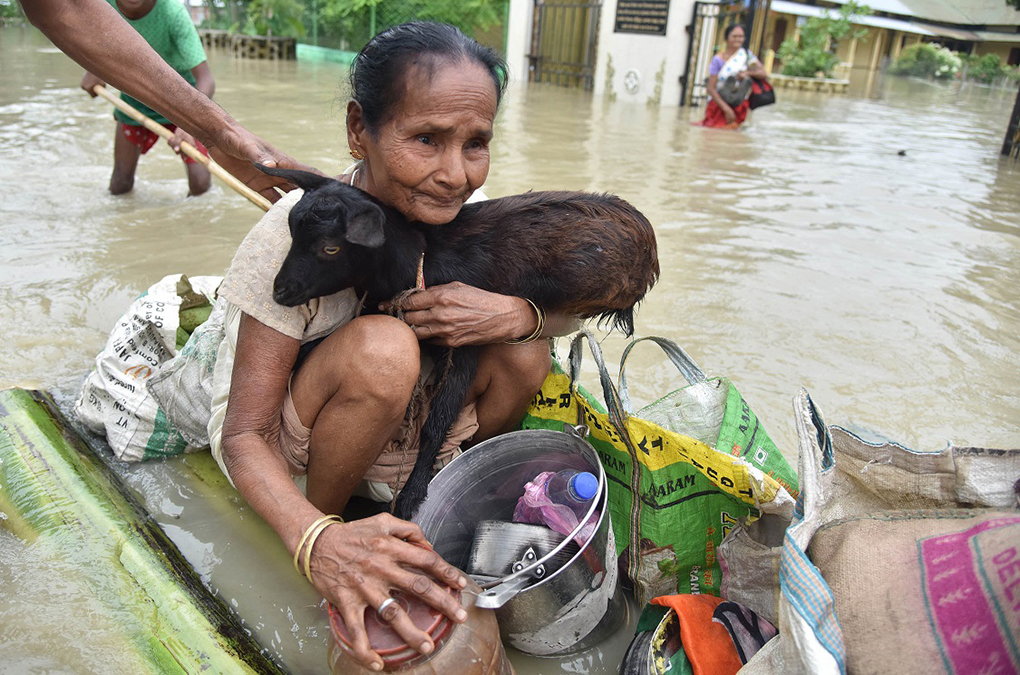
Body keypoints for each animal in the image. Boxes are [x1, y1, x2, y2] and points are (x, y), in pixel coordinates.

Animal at [252, 163, 652, 517]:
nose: (279, 292)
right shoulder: (380, 308)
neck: (421, 257)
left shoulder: (465, 342)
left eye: (330, 248)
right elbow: (319, 343)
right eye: (291, 233)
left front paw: (412, 496)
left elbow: (437, 422)